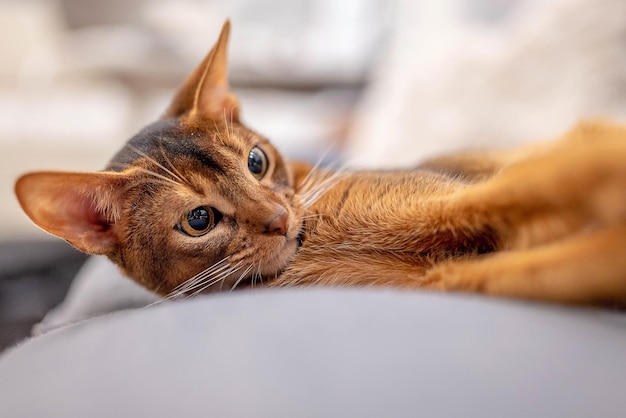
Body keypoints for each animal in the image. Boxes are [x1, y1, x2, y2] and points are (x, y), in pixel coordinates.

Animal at [13, 21, 624, 306]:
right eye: (199, 220)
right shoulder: (452, 277)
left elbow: (540, 175)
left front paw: (597, 159)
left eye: (256, 161)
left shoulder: (461, 191)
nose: (280, 220)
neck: (322, 237)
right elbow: (558, 263)